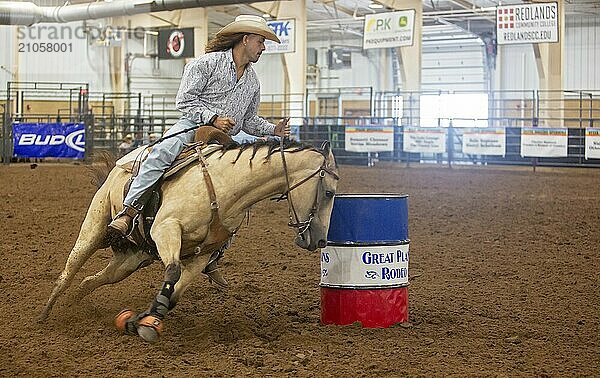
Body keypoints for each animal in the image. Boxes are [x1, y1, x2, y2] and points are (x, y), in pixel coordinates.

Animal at [38, 138, 338, 342]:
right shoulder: (166, 229)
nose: (320, 241)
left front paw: (142, 321)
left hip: (131, 260)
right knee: (69, 271)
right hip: (94, 229)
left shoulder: (202, 255)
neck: (225, 187)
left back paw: (74, 305)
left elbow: (174, 294)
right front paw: (145, 322)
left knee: (90, 281)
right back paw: (45, 316)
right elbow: (172, 271)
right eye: (329, 193)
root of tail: (117, 168)